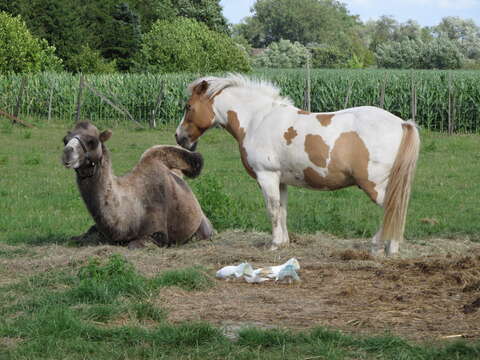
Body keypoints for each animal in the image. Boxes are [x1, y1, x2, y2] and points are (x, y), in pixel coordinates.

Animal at [62, 121, 212, 248]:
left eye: (92, 141)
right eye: (65, 140)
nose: (67, 152)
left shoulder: (158, 233)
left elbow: (133, 245)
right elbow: (79, 237)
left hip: (203, 226)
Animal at [174, 74, 418, 256]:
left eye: (188, 106)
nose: (179, 137)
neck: (257, 120)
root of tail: (402, 123)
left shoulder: (267, 177)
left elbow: (272, 209)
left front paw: (274, 244)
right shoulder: (280, 180)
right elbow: (282, 210)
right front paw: (283, 242)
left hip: (373, 185)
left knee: (393, 209)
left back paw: (380, 246)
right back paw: (390, 247)